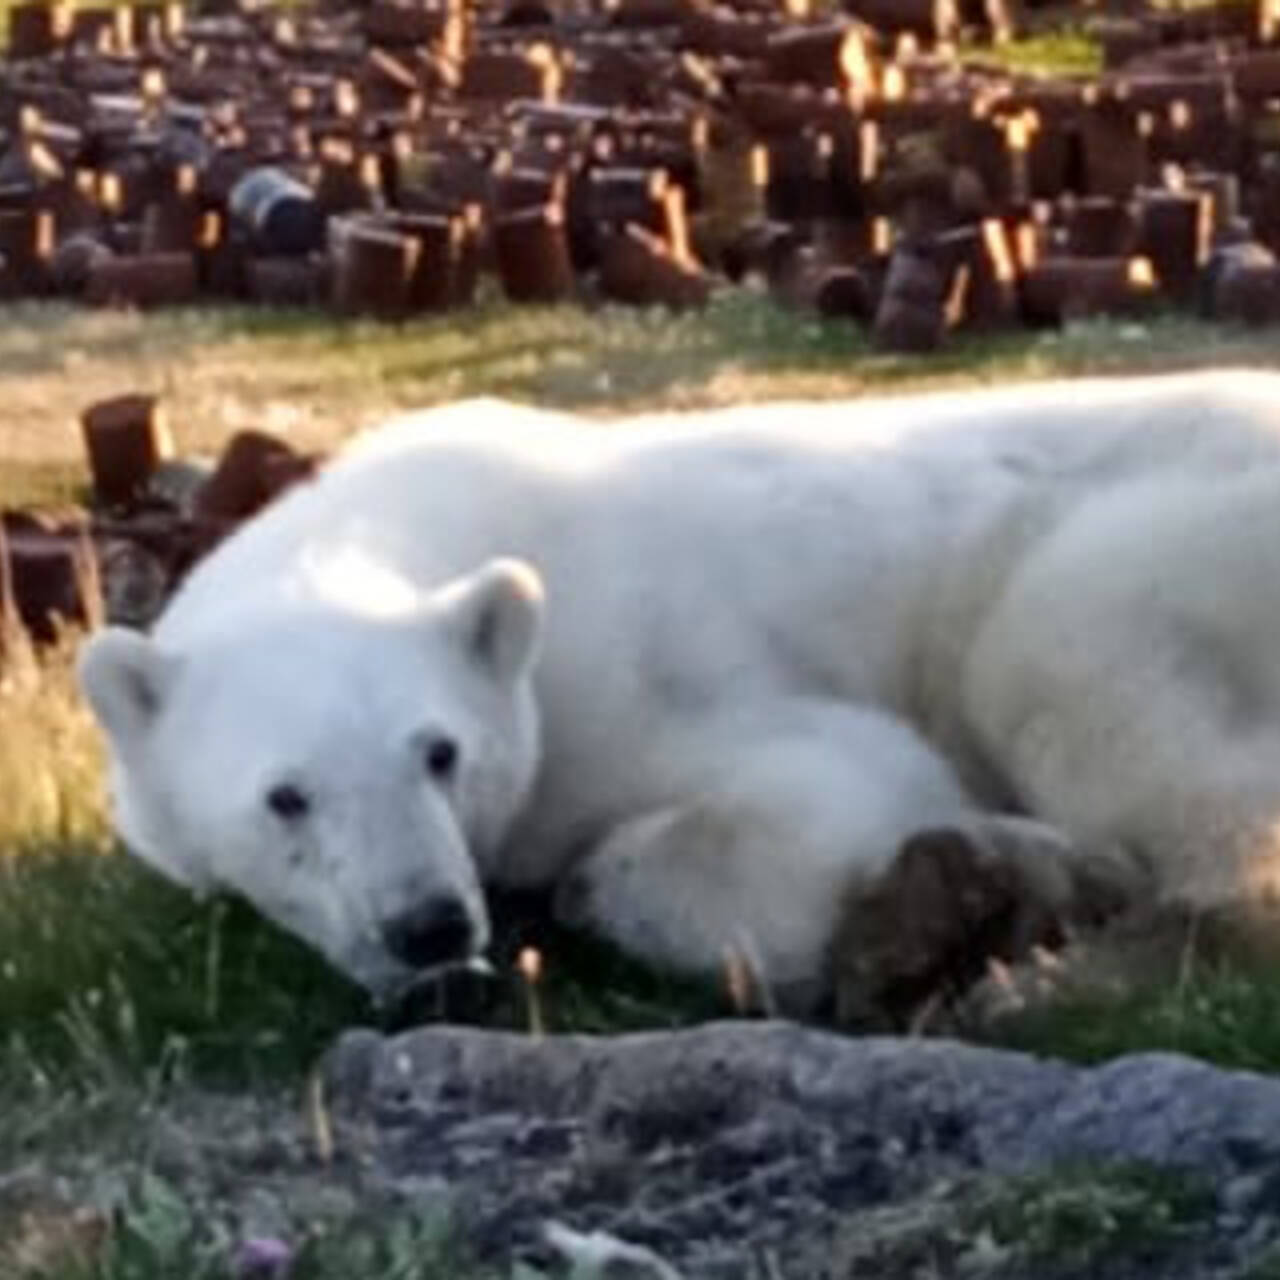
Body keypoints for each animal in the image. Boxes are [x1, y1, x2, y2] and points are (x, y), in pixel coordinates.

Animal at [77, 371, 1280, 1018]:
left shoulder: (633, 672)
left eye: (440, 751)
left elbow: (831, 792)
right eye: (286, 796)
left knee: (1075, 676)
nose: (427, 926)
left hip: (1156, 537)